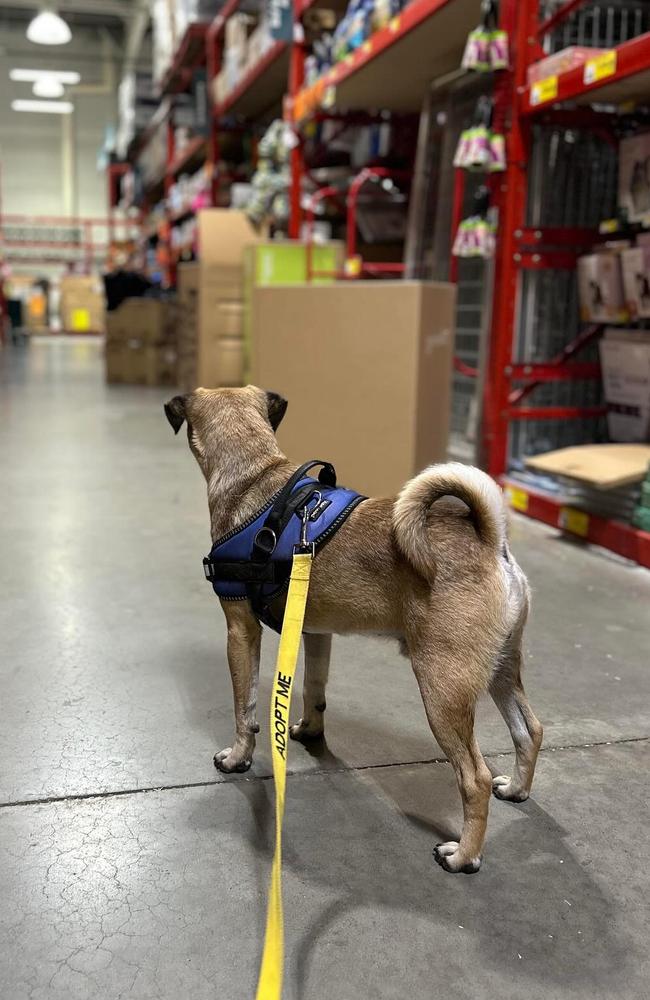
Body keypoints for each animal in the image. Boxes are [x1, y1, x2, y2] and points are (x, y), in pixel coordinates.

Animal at [165, 386, 540, 872]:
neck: (254, 476)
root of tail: (491, 543)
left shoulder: (240, 632)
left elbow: (243, 709)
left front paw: (238, 758)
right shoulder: (314, 633)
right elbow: (315, 687)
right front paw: (309, 729)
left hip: (443, 689)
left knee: (473, 777)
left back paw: (463, 855)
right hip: (500, 670)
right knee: (529, 731)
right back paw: (516, 788)